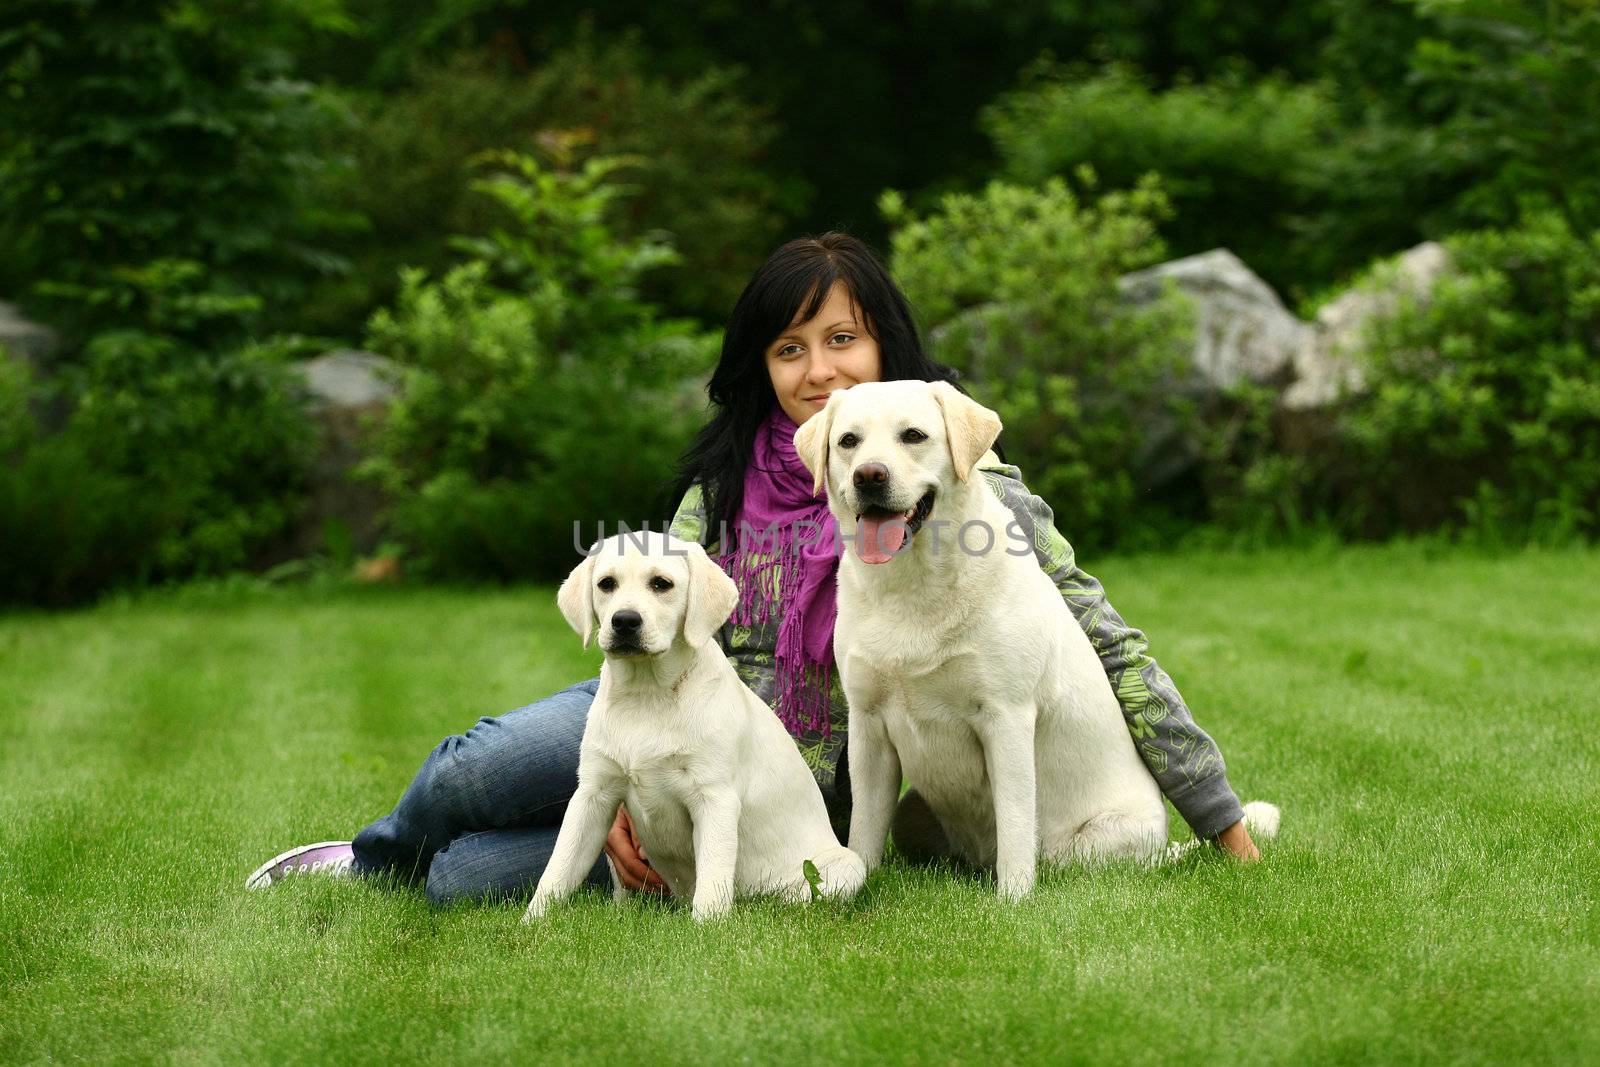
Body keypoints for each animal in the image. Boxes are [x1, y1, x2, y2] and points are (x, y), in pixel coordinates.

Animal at [524, 531, 864, 921]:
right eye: (606, 584)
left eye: (661, 584)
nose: (624, 621)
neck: (647, 694)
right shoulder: (593, 793)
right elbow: (560, 867)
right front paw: (532, 922)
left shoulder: (714, 795)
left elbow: (713, 873)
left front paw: (708, 925)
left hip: (846, 866)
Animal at [796, 383, 1273, 902]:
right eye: (848, 442)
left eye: (913, 435)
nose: (868, 475)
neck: (912, 584)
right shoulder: (869, 727)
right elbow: (863, 830)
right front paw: (856, 883)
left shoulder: (1005, 718)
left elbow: (1015, 823)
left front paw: (1013, 901)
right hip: (912, 813)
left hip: (1090, 845)